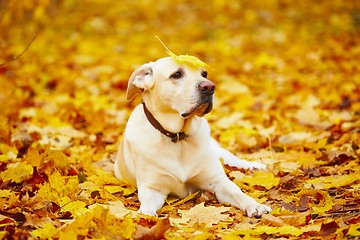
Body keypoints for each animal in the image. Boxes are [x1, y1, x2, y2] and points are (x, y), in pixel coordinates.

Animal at [114, 56, 272, 218]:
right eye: (176, 74)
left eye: (204, 74)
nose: (209, 87)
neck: (177, 137)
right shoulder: (152, 188)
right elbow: (146, 205)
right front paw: (145, 215)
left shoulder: (217, 181)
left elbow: (238, 193)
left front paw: (255, 205)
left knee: (237, 161)